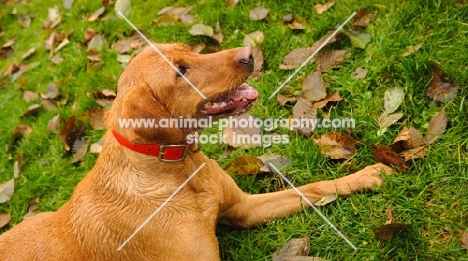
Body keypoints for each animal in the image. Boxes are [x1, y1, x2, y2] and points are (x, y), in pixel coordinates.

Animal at [0, 43, 392, 258]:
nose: (250, 54)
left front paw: (368, 175)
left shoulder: (243, 207)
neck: (178, 170)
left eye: (188, 49)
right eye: (181, 70)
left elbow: (312, 188)